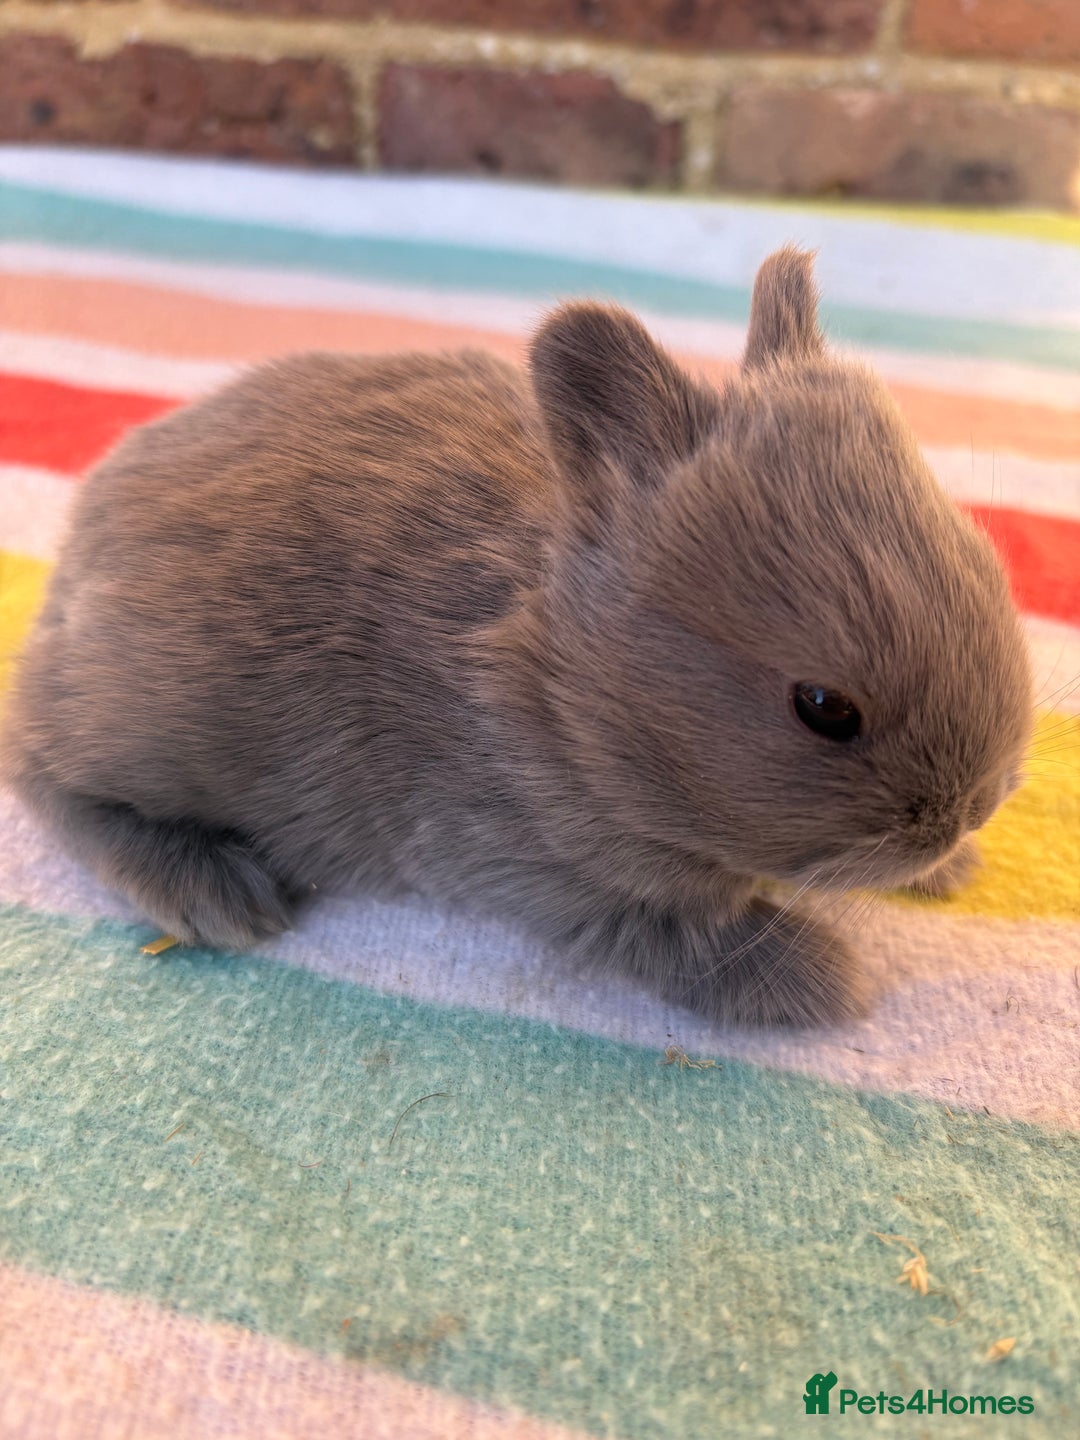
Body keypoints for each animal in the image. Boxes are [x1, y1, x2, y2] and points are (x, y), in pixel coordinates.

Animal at [1, 246, 1033, 1027]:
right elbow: (685, 935)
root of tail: (74, 555)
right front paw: (825, 980)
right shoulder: (552, 873)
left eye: (989, 568)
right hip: (149, 717)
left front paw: (952, 871)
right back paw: (213, 893)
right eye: (823, 707)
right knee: (40, 769)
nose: (969, 811)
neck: (567, 689)